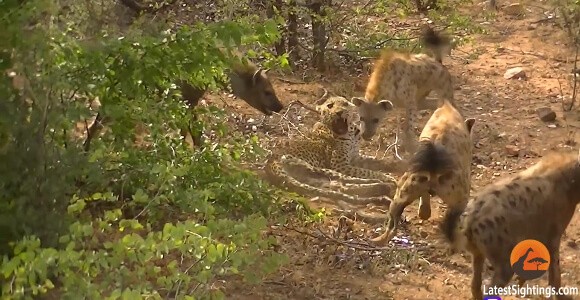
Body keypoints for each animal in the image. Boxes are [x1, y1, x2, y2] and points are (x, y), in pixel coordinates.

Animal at [264, 95, 396, 204]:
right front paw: (385, 175)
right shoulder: (340, 164)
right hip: (318, 168)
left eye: (345, 104)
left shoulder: (355, 157)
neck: (351, 132)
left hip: (311, 177)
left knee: (339, 185)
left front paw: (392, 164)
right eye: (330, 106)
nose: (339, 112)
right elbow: (366, 172)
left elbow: (374, 161)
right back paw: (386, 183)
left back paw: (382, 189)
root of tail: (270, 163)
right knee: (347, 179)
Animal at [352, 23, 456, 154]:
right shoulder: (397, 104)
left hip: (443, 90)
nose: (365, 135)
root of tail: (438, 62)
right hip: (421, 100)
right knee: (434, 104)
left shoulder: (409, 101)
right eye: (362, 118)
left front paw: (410, 147)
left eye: (376, 119)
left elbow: (408, 127)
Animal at [440, 150, 580, 300]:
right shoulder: (553, 233)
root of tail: (471, 217)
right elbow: (555, 272)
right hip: (503, 260)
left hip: (477, 251)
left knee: (475, 284)